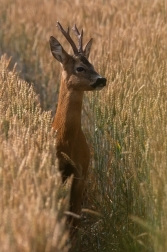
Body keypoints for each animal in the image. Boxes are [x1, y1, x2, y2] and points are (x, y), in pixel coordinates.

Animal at [49, 21, 106, 248]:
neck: (66, 140)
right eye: (80, 68)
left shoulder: (81, 169)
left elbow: (74, 217)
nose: (102, 79)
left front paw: (72, 242)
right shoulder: (57, 169)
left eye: (93, 65)